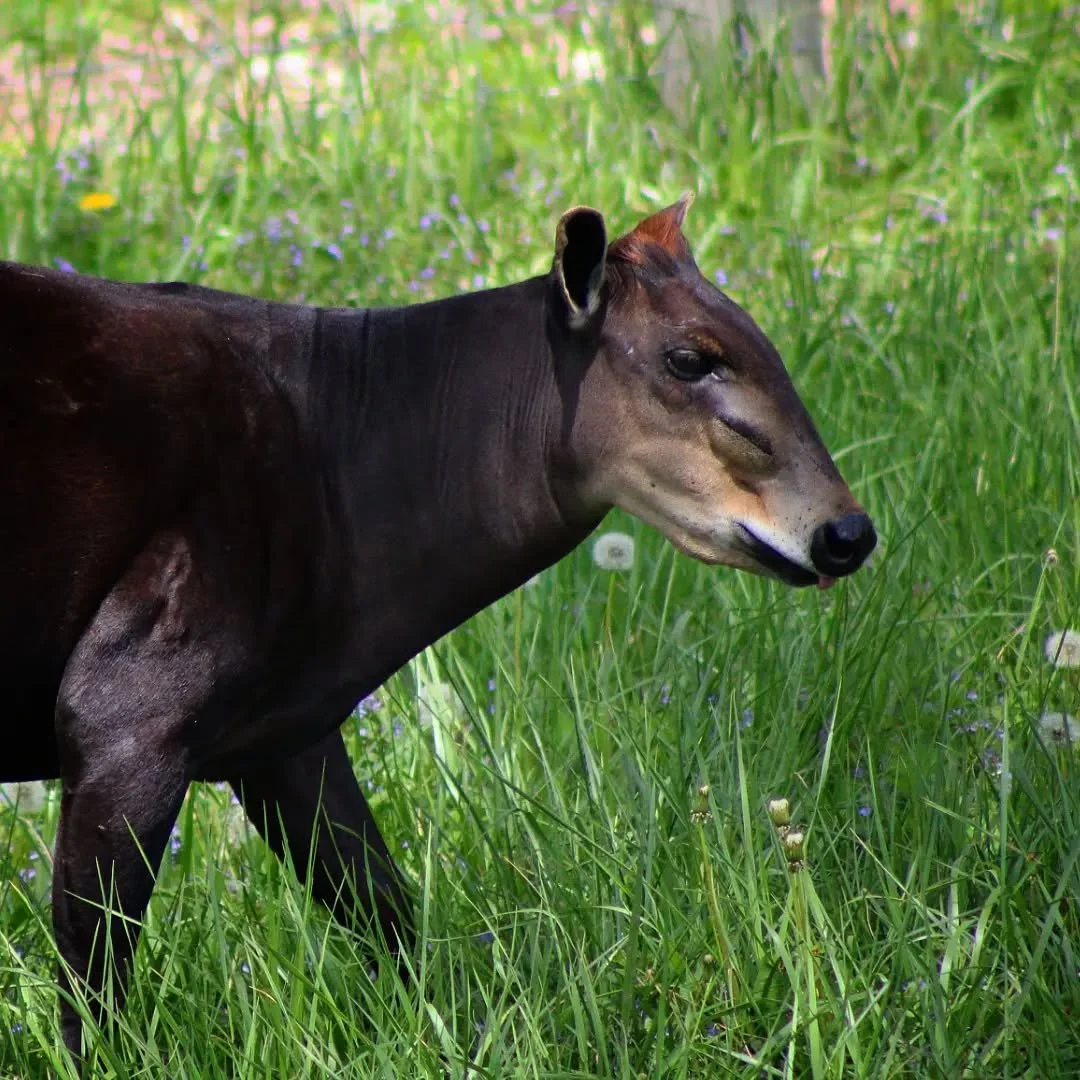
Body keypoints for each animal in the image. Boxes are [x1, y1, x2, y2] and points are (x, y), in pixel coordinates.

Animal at [0, 194, 875, 1060]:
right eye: (689, 358)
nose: (848, 533)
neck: (350, 467)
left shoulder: (282, 730)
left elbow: (382, 903)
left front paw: (452, 1036)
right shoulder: (128, 712)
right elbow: (91, 990)